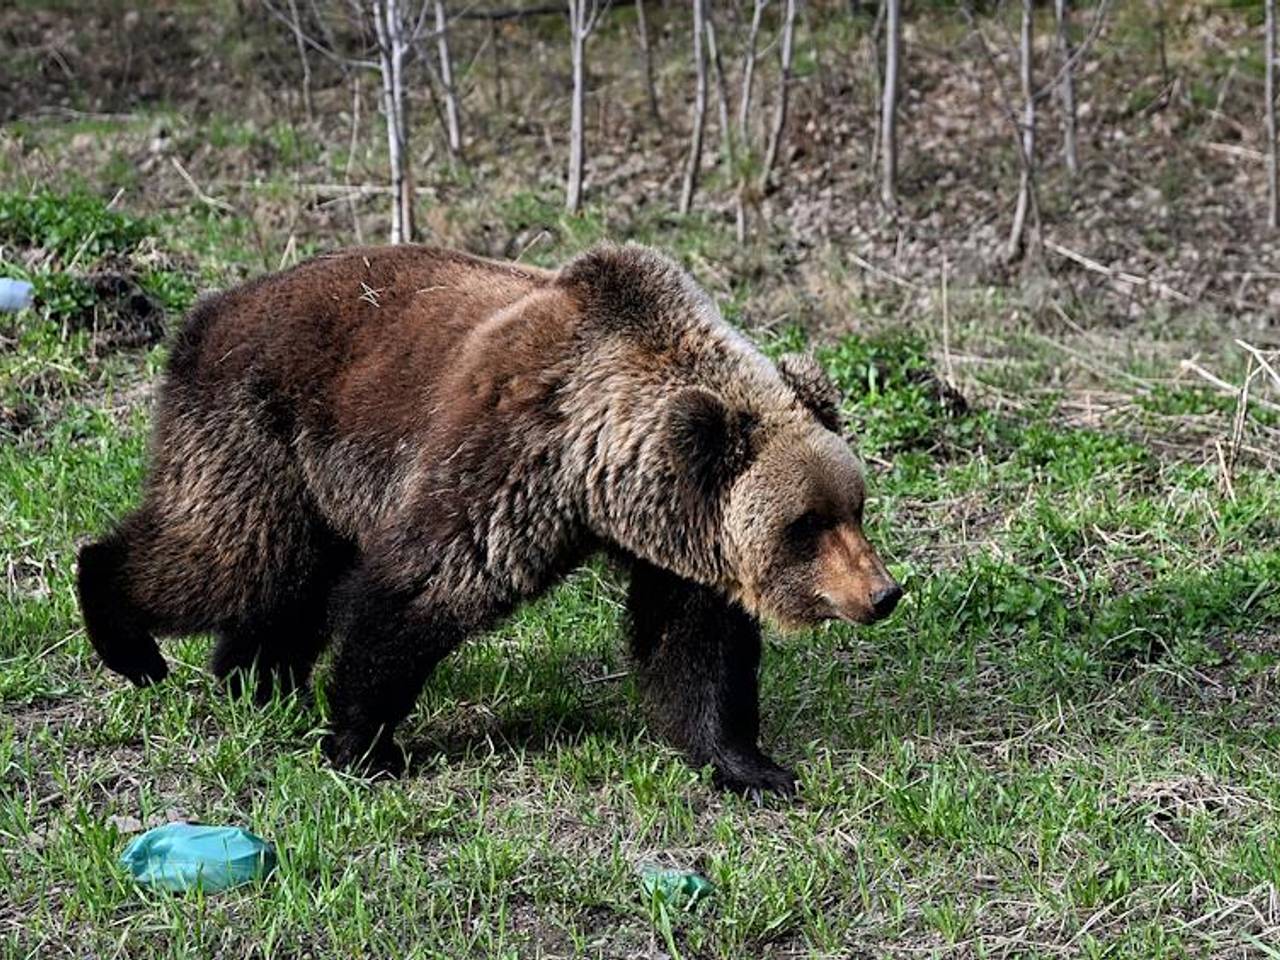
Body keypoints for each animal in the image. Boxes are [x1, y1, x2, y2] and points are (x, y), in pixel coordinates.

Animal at [76, 243, 901, 796]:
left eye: (855, 507)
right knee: (226, 554)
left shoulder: (674, 538)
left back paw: (257, 680)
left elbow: (695, 647)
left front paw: (751, 765)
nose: (883, 593)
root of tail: (208, 311)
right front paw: (363, 745)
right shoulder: (505, 458)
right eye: (806, 523)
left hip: (316, 486)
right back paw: (130, 639)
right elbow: (424, 588)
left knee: (290, 581)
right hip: (260, 428)